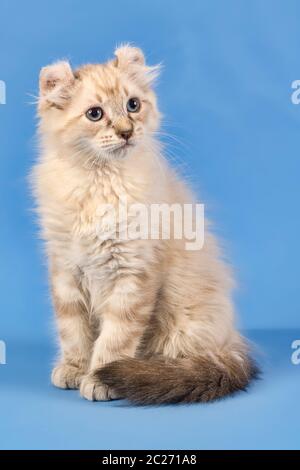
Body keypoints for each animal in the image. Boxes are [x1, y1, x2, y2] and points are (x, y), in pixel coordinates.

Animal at [32, 45, 258, 404]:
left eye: (133, 105)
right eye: (95, 114)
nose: (126, 131)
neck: (99, 184)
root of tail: (231, 338)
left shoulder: (133, 272)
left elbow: (115, 338)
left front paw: (99, 378)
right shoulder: (66, 269)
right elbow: (73, 330)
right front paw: (74, 368)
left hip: (186, 329)